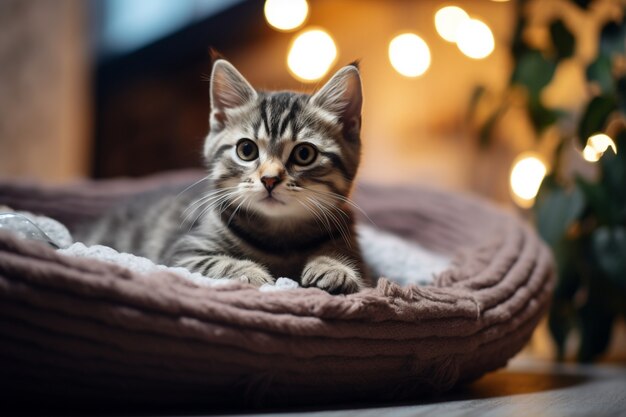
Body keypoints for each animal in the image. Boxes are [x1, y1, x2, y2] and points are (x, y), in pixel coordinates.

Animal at [80, 60, 368, 294]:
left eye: (304, 153)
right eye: (246, 150)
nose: (270, 179)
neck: (279, 238)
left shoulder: (353, 247)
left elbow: (349, 260)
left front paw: (333, 266)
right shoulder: (181, 253)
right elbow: (216, 262)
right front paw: (250, 272)